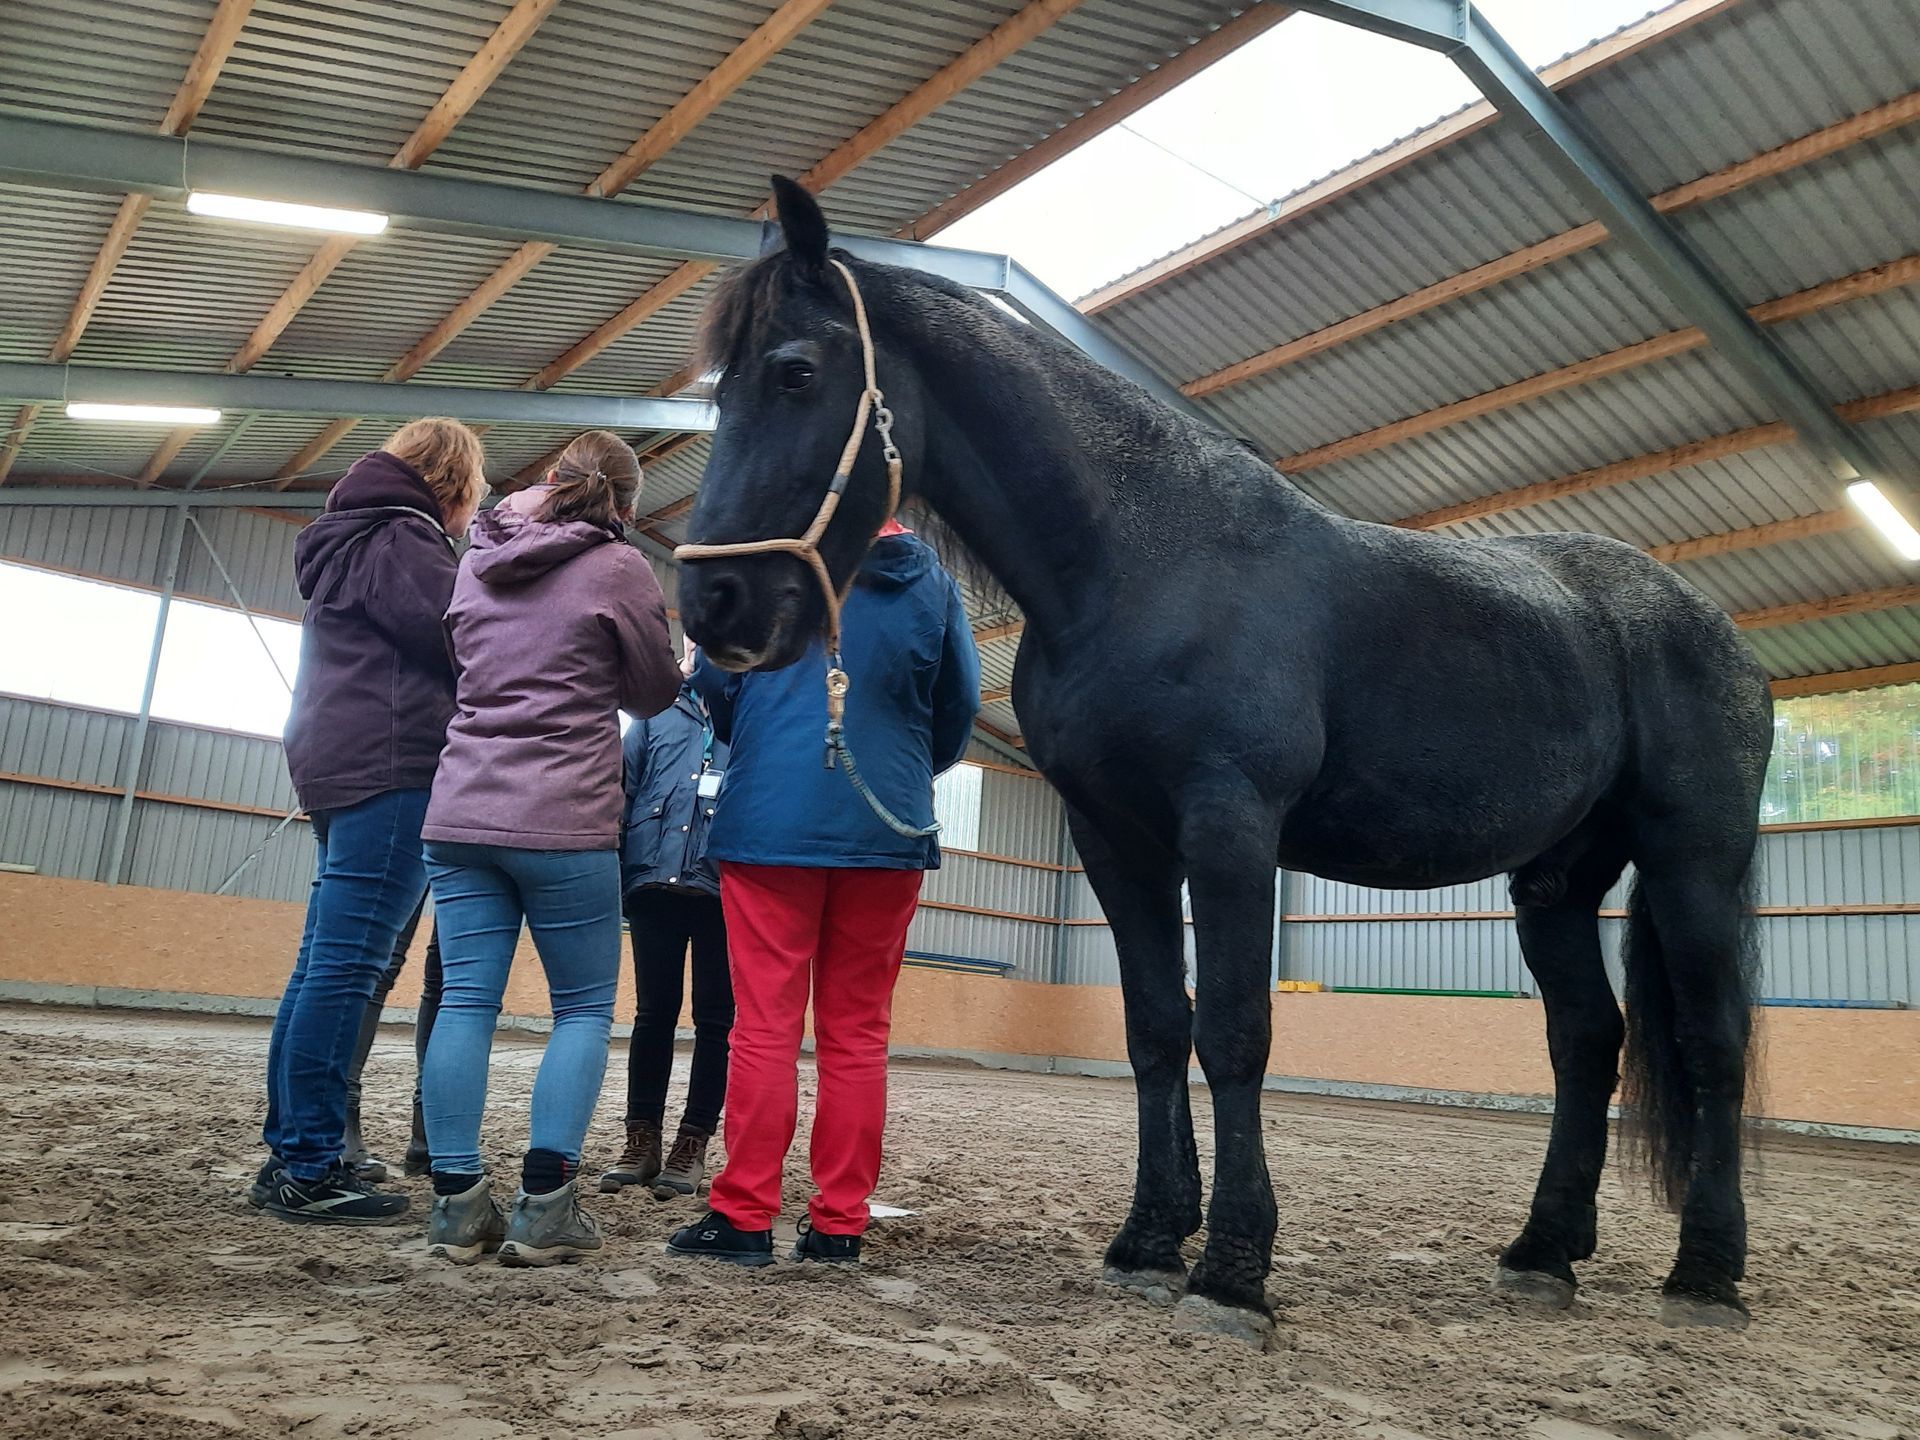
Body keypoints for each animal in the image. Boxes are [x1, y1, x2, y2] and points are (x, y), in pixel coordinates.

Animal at [675, 176, 1772, 1341]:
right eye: (722, 388)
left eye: (796, 371)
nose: (713, 603)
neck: (1144, 561)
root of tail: (1710, 626)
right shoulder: (1116, 837)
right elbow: (1158, 1029)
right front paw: (1151, 1241)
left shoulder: (1230, 825)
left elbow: (1236, 1032)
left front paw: (1234, 1272)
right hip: (1558, 881)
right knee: (1586, 1042)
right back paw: (1542, 1254)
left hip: (1692, 861)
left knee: (1712, 1044)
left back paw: (1706, 1274)